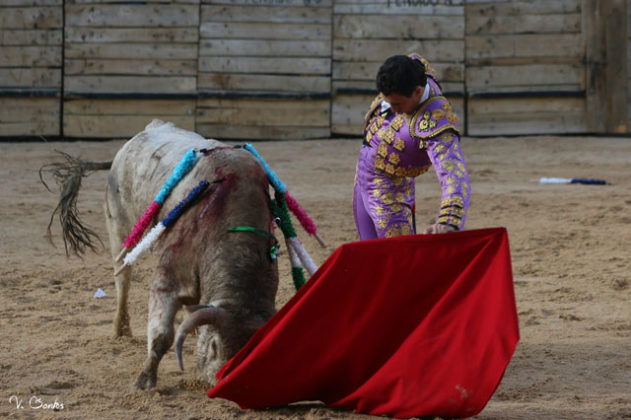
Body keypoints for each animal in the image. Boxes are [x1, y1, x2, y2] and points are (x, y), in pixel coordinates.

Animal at [43, 120, 278, 390]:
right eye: (214, 347)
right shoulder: (169, 275)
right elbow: (162, 333)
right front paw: (144, 381)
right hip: (119, 227)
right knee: (122, 277)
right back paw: (121, 329)